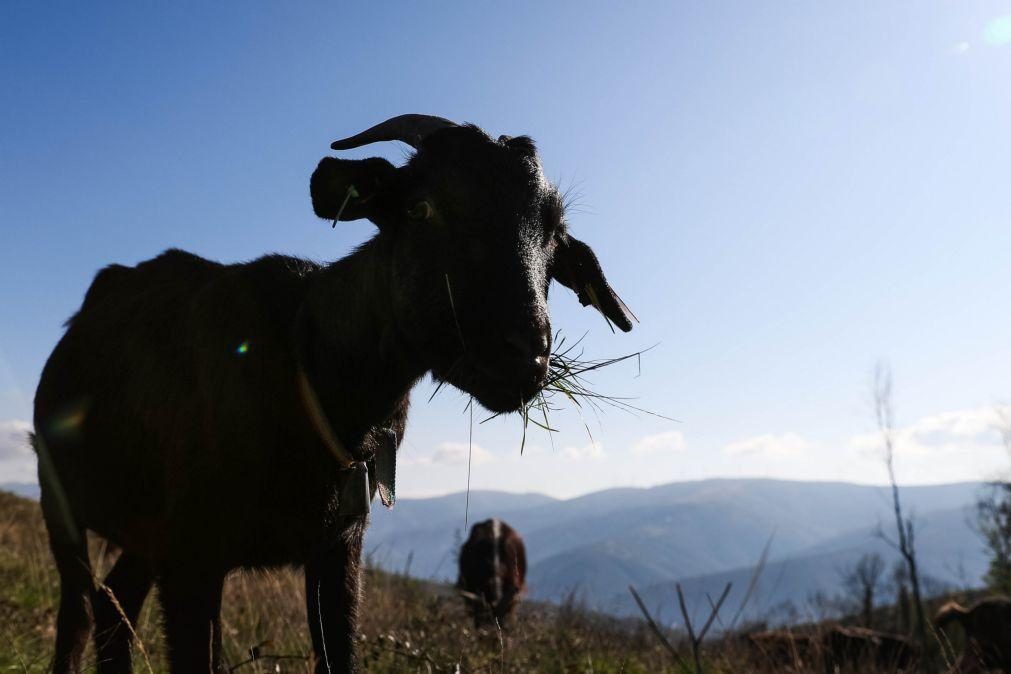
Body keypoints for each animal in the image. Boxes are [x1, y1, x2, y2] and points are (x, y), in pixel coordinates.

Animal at [35, 113, 634, 670]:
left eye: (554, 235)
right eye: (420, 209)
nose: (524, 355)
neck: (310, 367)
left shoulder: (338, 548)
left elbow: (339, 655)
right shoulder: (192, 554)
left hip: (142, 530)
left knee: (114, 605)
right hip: (58, 490)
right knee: (81, 609)